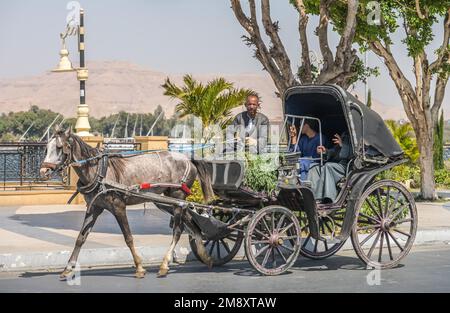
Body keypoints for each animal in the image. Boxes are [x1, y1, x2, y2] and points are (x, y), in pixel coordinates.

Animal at [39, 127, 215, 278]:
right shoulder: (94, 207)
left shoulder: (118, 207)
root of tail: (188, 159)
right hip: (168, 201)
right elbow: (80, 238)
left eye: (60, 148)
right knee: (192, 224)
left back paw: (165, 265)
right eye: (47, 148)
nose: (43, 171)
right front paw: (68, 268)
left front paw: (139, 267)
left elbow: (128, 237)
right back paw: (206, 257)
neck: (98, 170)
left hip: (178, 197)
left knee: (178, 230)